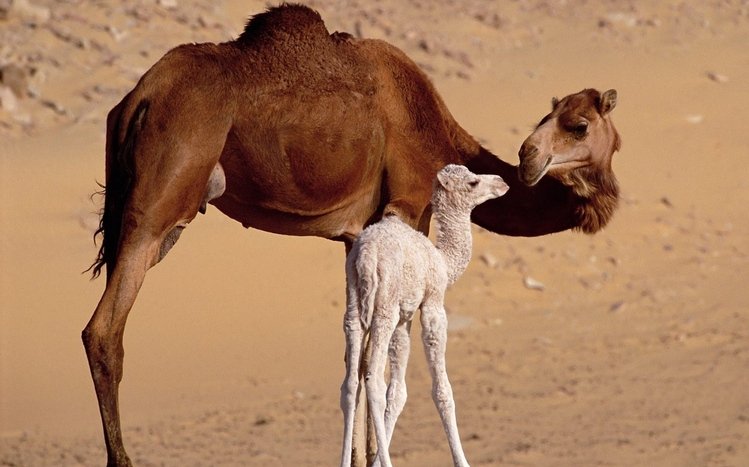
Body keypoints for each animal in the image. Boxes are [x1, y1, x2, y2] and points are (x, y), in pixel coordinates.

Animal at [341, 165, 509, 467]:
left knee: (350, 384)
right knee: (373, 380)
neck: (443, 260)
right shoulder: (432, 304)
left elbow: (398, 392)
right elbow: (442, 390)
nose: (502, 182)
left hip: (354, 302)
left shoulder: (404, 317)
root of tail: (368, 255)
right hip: (384, 307)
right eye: (472, 182)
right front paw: (462, 460)